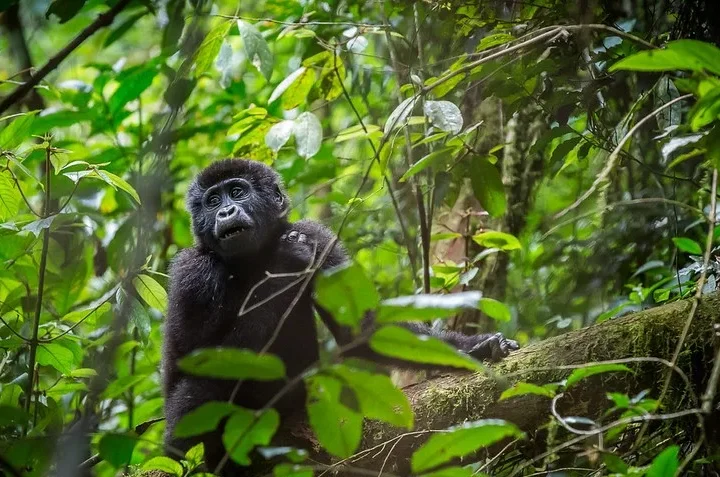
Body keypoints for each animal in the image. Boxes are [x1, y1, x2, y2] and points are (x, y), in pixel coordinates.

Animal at [162, 158, 519, 475]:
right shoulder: (192, 271)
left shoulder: (318, 238)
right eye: (212, 201)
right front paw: (287, 262)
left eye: (237, 192)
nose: (225, 211)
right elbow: (199, 356)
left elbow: (361, 330)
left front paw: (476, 347)